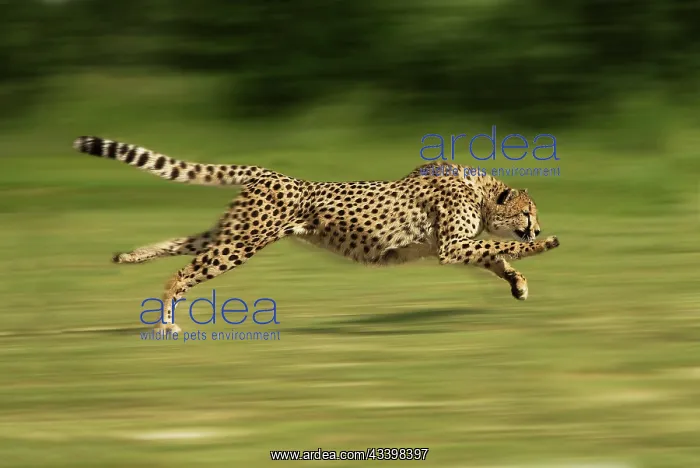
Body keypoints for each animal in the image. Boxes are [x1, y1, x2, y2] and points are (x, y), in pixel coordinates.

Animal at [73, 136, 560, 333]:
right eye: (528, 212)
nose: (538, 225)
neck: (481, 193)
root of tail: (269, 173)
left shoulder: (455, 247)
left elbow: (496, 256)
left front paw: (518, 284)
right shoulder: (451, 246)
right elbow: (502, 246)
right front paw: (544, 244)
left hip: (232, 233)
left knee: (181, 246)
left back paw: (130, 257)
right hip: (241, 243)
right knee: (182, 273)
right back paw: (165, 321)